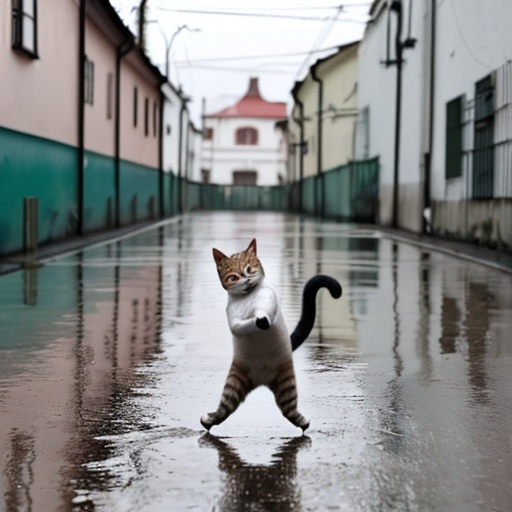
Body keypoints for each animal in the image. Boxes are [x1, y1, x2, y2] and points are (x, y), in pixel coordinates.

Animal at [199, 239, 340, 432]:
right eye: (233, 277)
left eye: (249, 269)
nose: (246, 279)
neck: (247, 298)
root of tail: (261, 380)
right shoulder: (234, 320)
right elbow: (238, 326)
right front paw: (255, 323)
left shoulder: (267, 301)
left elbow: (263, 313)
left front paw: (261, 320)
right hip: (235, 382)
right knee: (226, 407)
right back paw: (208, 421)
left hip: (286, 383)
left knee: (289, 410)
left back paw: (304, 423)